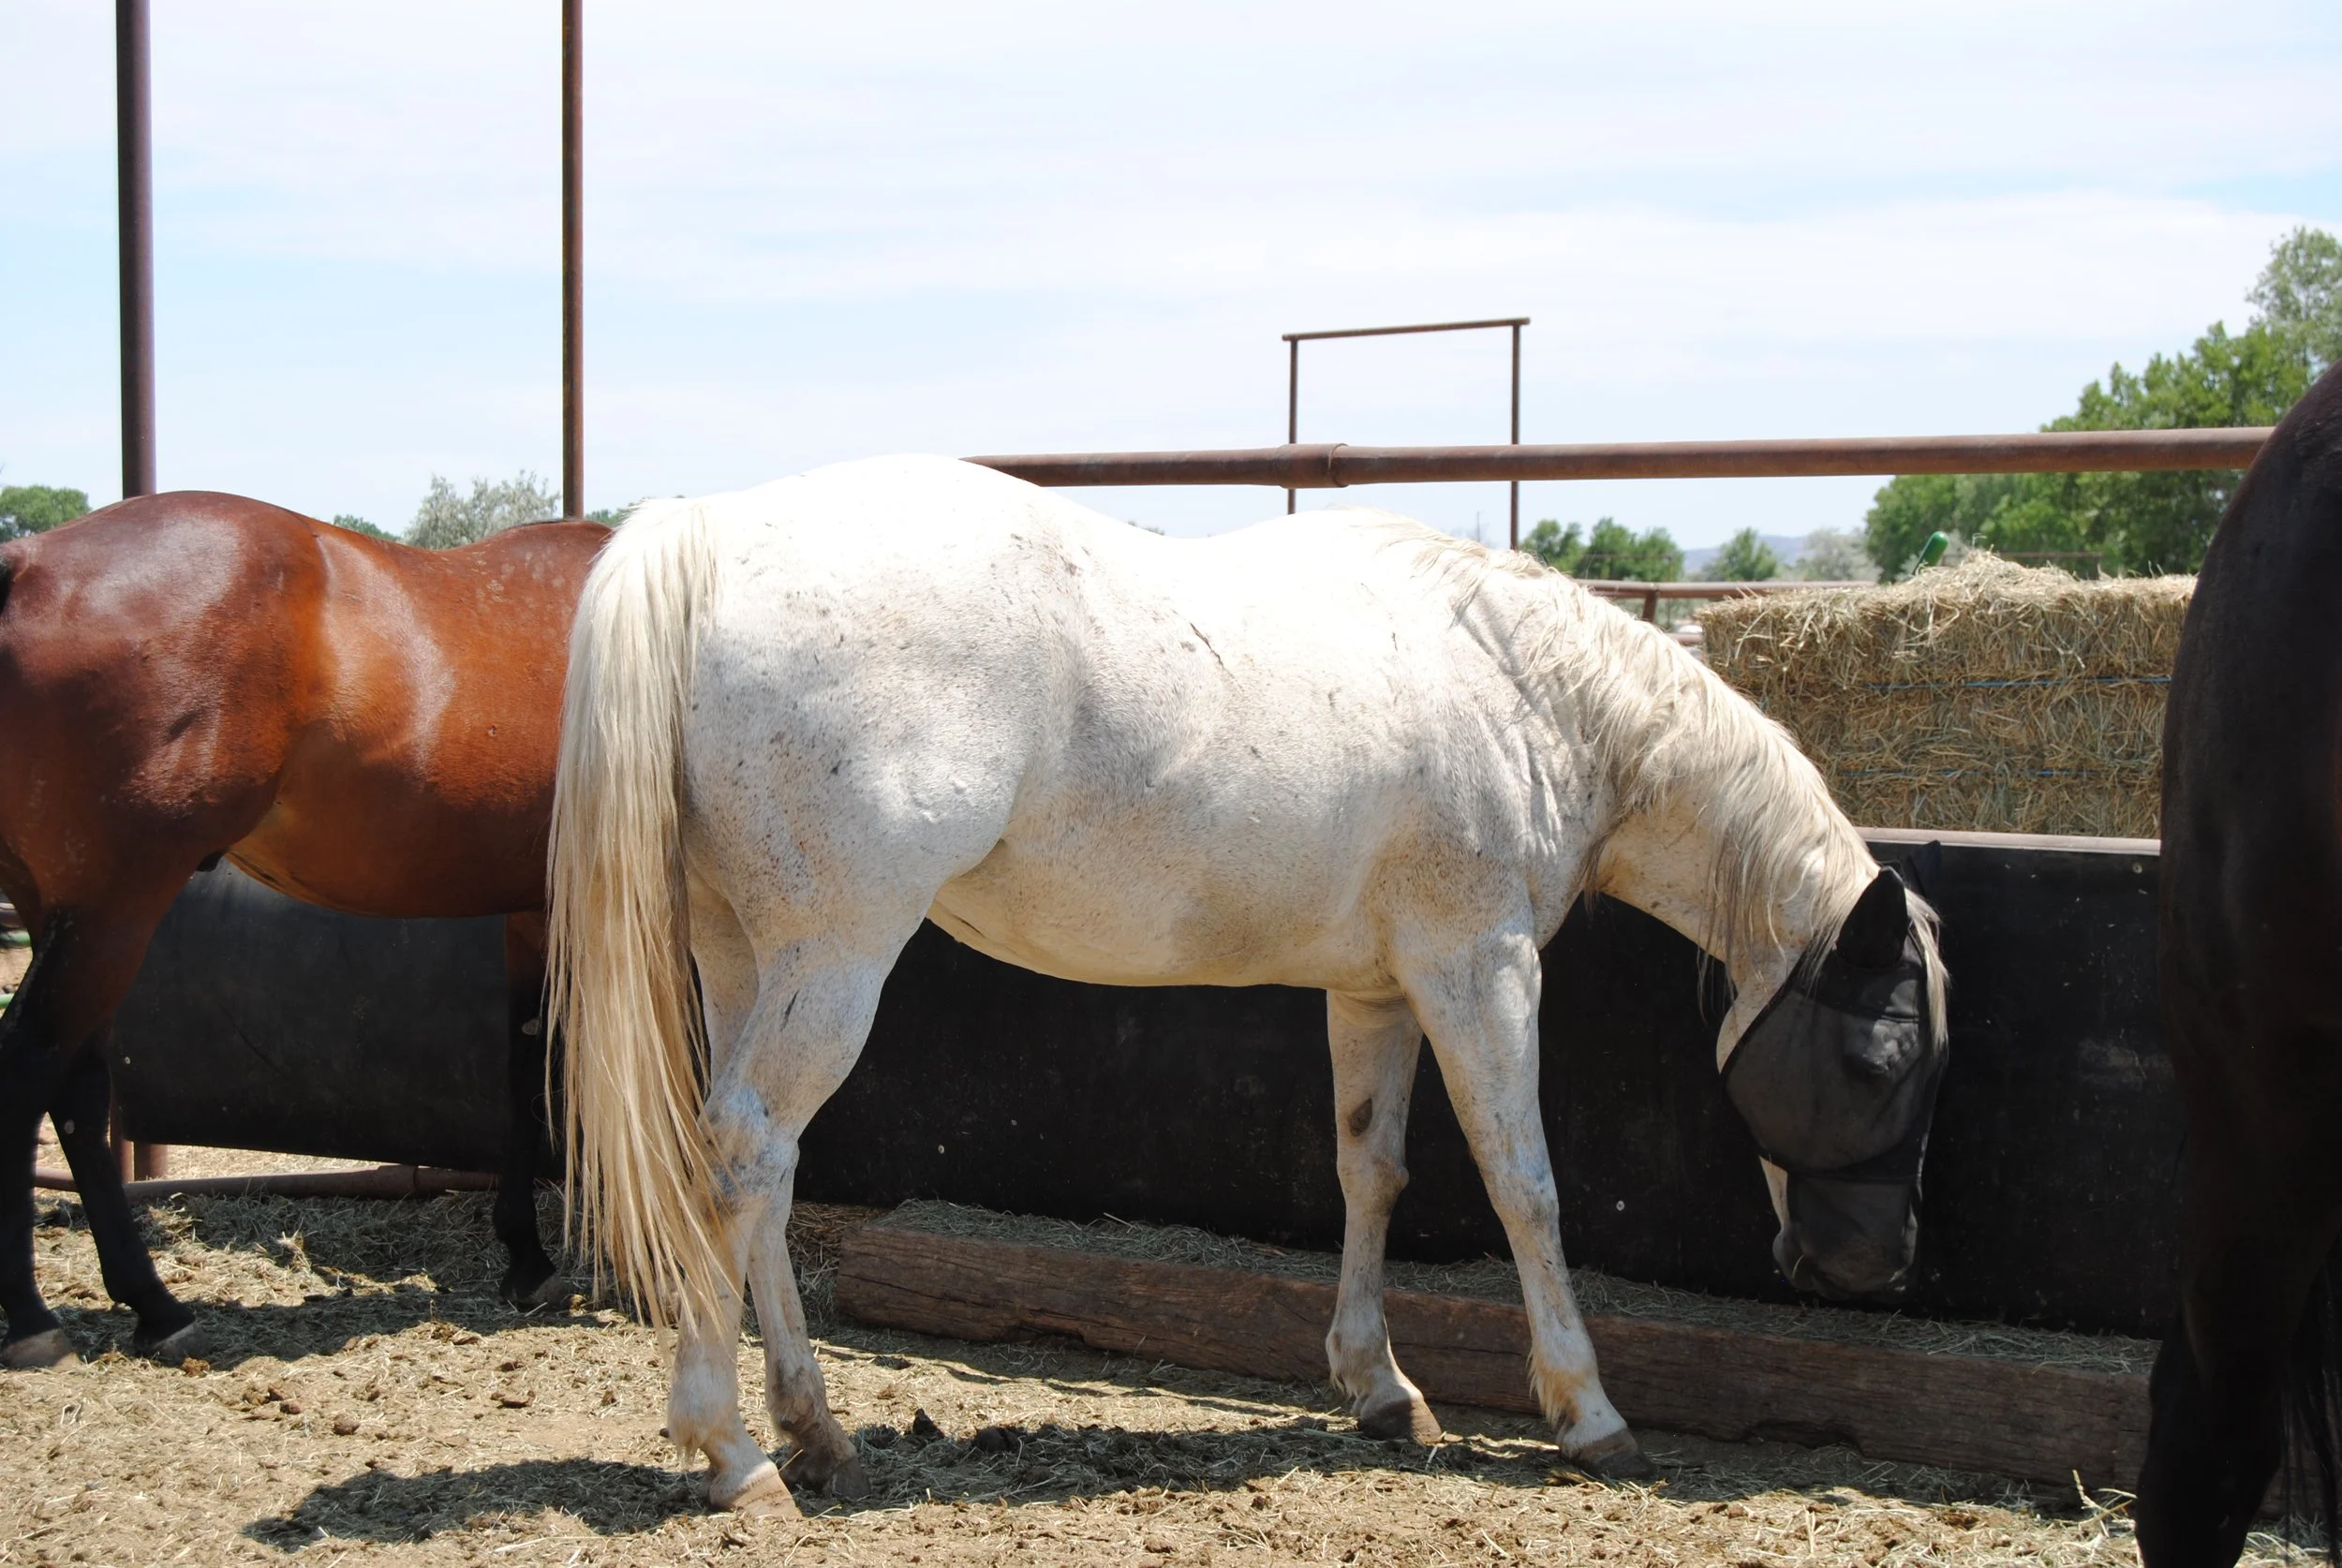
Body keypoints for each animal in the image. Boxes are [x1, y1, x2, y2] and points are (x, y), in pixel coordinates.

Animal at [0, 492, 604, 1369]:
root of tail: (30, 562)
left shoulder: (534, 911)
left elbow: (526, 1070)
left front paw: (527, 1260)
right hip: (113, 910)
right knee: (29, 1069)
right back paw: (35, 1319)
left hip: (68, 912)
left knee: (76, 1084)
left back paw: (153, 1305)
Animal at [544, 455, 1950, 1514]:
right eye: (1881, 1062)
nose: (1874, 1269)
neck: (1525, 689)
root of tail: (708, 534)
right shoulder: (1479, 965)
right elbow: (1527, 1186)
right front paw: (1587, 1408)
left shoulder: (1378, 992)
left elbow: (1370, 1169)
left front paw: (1380, 1387)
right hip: (837, 956)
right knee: (743, 1152)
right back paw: (730, 1450)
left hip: (748, 955)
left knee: (763, 1177)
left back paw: (816, 1432)